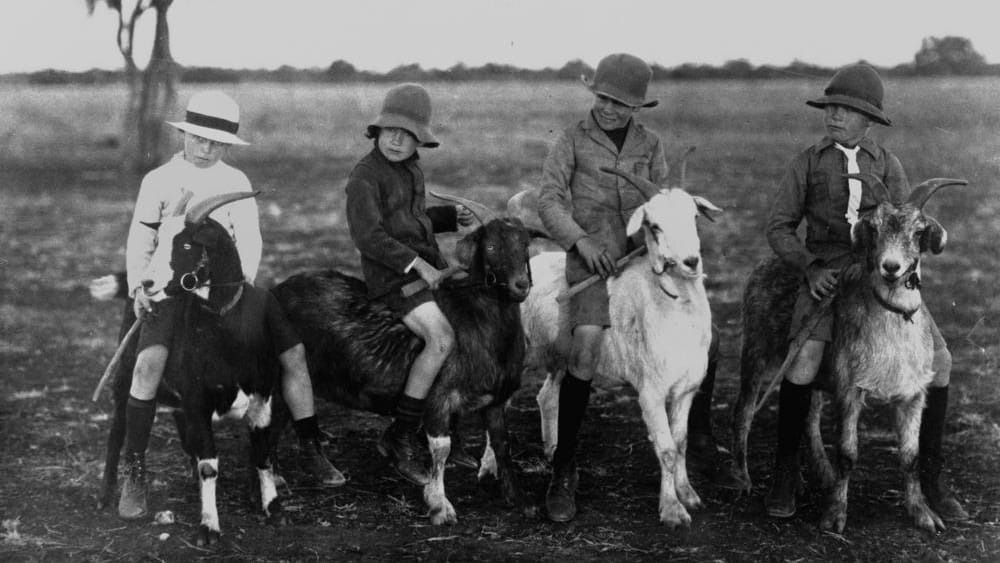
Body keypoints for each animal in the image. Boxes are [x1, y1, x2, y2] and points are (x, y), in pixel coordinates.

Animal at [274, 197, 536, 524]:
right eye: (490, 246)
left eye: (525, 244)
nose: (520, 285)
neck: (480, 324)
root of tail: (274, 290)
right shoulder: (439, 398)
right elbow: (441, 448)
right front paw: (440, 506)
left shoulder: (496, 400)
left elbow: (503, 444)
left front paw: (520, 500)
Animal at [494, 169, 716, 528]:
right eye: (654, 226)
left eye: (694, 217)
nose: (691, 262)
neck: (672, 306)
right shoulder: (651, 392)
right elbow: (667, 449)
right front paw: (672, 510)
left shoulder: (685, 390)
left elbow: (681, 443)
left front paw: (689, 495)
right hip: (522, 353)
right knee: (498, 405)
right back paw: (492, 467)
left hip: (560, 355)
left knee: (547, 396)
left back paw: (553, 450)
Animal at [732, 176, 964, 532]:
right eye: (874, 228)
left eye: (918, 231)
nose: (891, 267)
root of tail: (765, 263)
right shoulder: (849, 389)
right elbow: (847, 453)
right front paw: (835, 515)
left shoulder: (913, 394)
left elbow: (910, 456)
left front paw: (923, 513)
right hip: (758, 349)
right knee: (744, 411)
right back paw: (747, 482)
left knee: (808, 418)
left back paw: (811, 479)